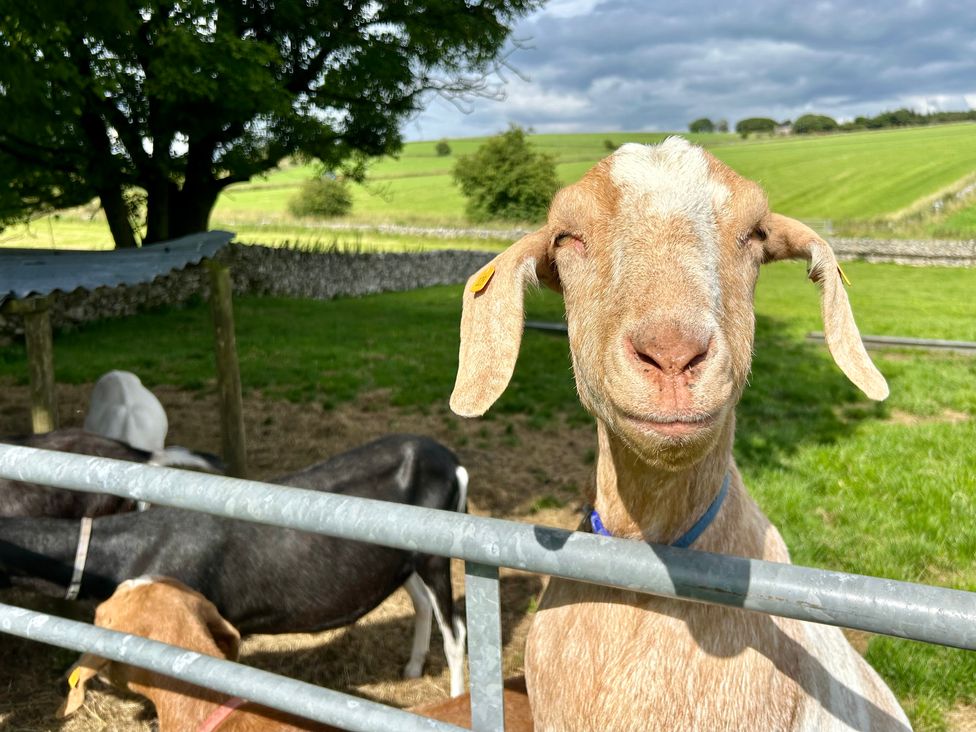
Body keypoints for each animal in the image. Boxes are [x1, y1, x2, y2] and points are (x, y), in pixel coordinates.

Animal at [0, 438, 468, 696]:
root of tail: (453, 462)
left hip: (435, 555)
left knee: (456, 629)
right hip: (405, 558)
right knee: (422, 604)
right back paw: (412, 669)